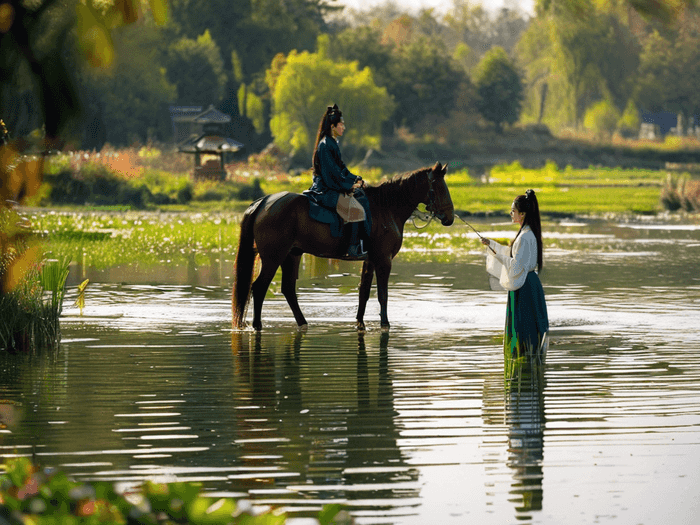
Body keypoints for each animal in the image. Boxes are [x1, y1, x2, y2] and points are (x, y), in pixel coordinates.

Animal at [232, 161, 456, 332]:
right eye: (440, 187)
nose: (450, 217)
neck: (386, 208)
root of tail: (264, 202)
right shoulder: (383, 260)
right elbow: (382, 294)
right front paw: (385, 323)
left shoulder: (370, 260)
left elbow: (364, 292)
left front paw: (360, 323)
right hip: (273, 258)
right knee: (259, 287)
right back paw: (258, 325)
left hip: (292, 255)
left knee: (287, 288)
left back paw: (302, 323)